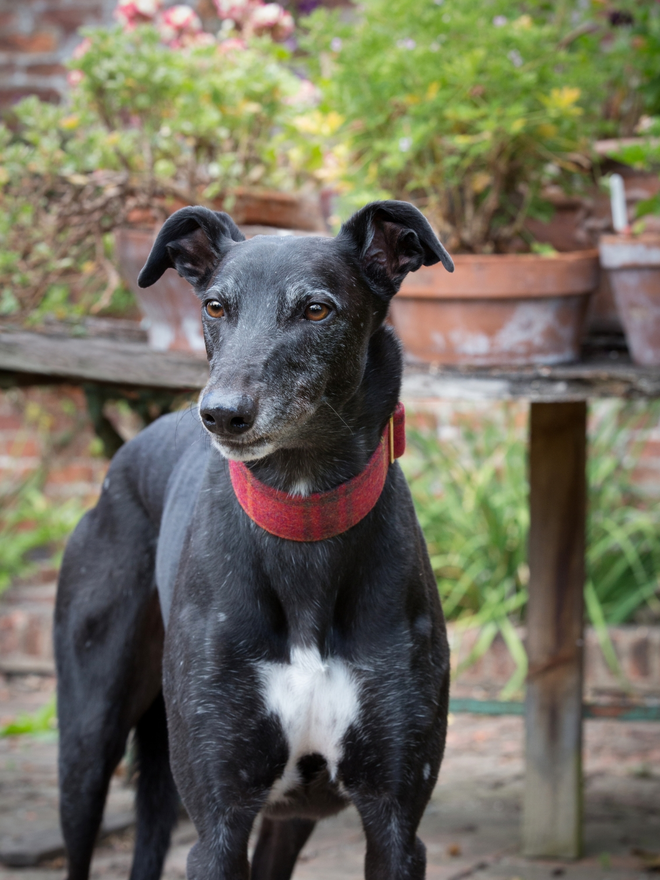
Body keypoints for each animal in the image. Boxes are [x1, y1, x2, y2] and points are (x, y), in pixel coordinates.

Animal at [54, 199, 454, 880]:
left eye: (317, 309)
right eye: (216, 307)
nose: (220, 414)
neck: (302, 514)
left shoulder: (397, 823)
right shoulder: (218, 823)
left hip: (283, 814)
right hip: (86, 739)